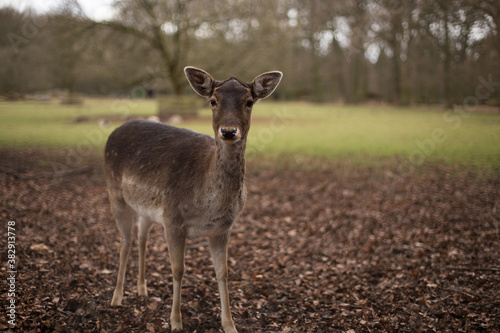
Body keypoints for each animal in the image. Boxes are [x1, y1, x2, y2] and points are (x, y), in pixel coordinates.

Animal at [103, 66, 284, 330]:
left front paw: (230, 325)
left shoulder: (222, 228)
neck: (208, 203)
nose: (228, 131)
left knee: (141, 237)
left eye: (249, 101)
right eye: (213, 101)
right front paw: (176, 322)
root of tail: (115, 131)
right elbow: (178, 269)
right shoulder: (173, 218)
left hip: (147, 209)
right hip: (115, 193)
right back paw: (116, 299)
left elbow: (223, 272)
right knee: (125, 241)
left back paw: (142, 290)